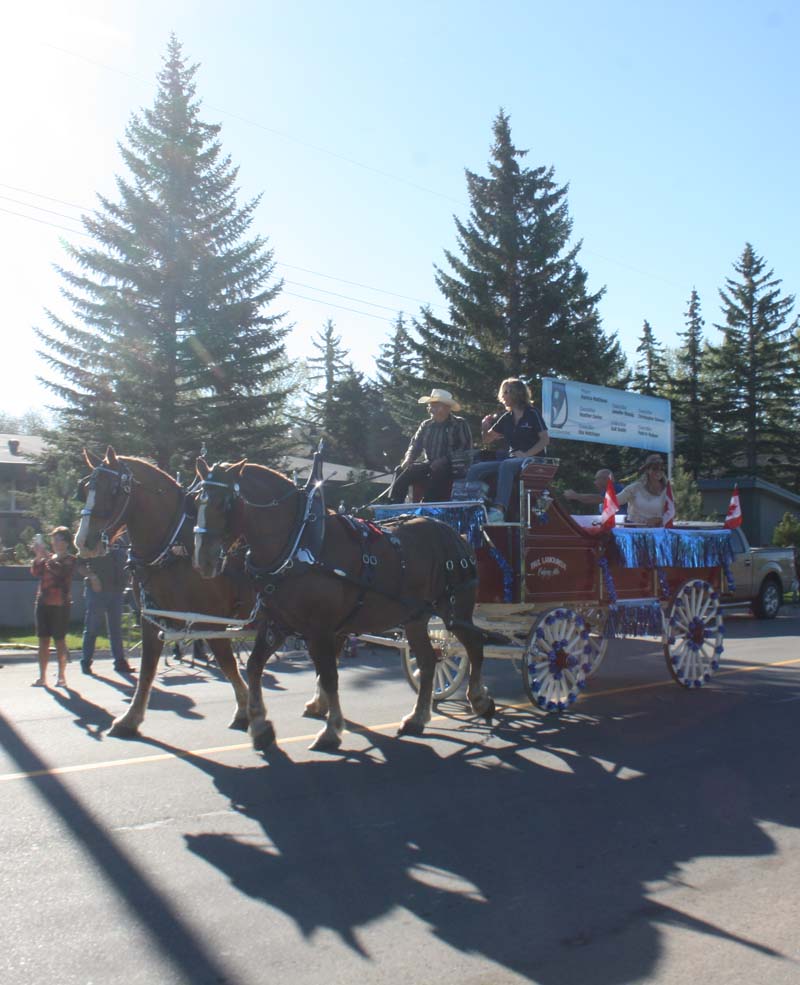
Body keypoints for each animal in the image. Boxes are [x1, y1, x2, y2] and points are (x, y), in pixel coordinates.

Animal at [74, 450, 256, 736]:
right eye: (85, 488)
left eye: (113, 490)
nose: (83, 541)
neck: (174, 548)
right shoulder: (152, 618)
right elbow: (147, 670)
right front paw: (130, 718)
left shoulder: (211, 622)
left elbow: (229, 665)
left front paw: (244, 710)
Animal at [194, 458, 494, 748]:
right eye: (198, 499)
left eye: (223, 503)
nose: (203, 560)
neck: (297, 544)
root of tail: (453, 532)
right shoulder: (278, 623)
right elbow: (255, 666)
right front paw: (259, 725)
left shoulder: (321, 630)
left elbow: (329, 676)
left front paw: (331, 730)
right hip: (416, 617)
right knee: (429, 660)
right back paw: (417, 718)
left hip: (454, 610)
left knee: (474, 645)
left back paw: (479, 699)